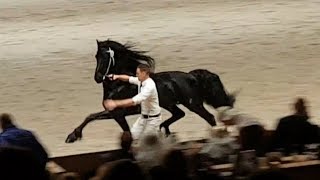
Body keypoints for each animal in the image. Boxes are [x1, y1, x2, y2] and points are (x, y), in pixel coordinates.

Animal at [65, 39, 236, 143]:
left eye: (106, 57)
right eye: (96, 56)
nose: (98, 77)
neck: (119, 85)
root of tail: (191, 76)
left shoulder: (117, 113)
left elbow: (92, 117)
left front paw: (72, 136)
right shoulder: (116, 114)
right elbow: (93, 117)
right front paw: (73, 136)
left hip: (193, 104)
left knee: (209, 118)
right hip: (170, 104)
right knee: (179, 114)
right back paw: (164, 129)